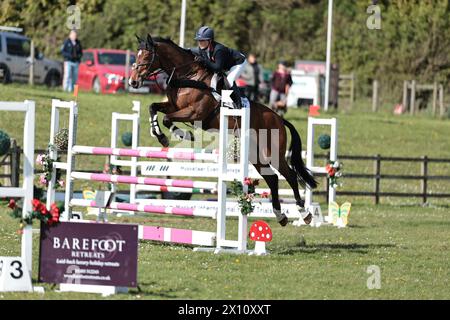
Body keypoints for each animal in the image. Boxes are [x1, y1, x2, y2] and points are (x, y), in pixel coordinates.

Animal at [127, 33, 316, 226]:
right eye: (136, 55)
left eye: (146, 56)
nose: (133, 81)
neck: (188, 76)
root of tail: (279, 118)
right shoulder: (173, 106)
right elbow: (153, 107)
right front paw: (159, 134)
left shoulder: (194, 113)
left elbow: (167, 118)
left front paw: (181, 134)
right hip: (255, 154)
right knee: (273, 178)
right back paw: (280, 215)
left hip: (273, 152)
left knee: (290, 176)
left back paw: (304, 214)